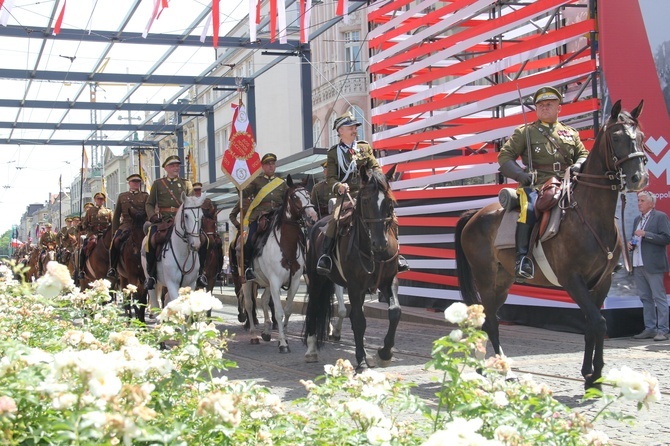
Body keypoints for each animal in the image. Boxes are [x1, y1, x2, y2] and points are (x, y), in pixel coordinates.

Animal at [242, 176, 320, 354]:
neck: (286, 244)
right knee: (249, 304)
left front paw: (282, 338)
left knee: (264, 301)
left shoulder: (295, 280)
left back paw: (265, 332)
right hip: (245, 280)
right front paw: (283, 343)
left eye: (308, 194)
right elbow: (278, 312)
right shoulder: (275, 281)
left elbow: (288, 309)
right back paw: (254, 335)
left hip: (266, 282)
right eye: (295, 196)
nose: (312, 216)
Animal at [306, 166, 404, 368]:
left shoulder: (389, 281)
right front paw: (362, 360)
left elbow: (395, 312)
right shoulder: (354, 286)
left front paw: (384, 353)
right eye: (365, 201)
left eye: (389, 202)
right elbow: (359, 320)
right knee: (313, 305)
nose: (380, 243)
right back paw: (311, 349)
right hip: (316, 279)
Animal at [456, 99, 652, 388]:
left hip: (503, 280)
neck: (590, 215)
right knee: (490, 321)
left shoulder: (601, 282)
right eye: (616, 137)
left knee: (488, 319)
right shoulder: (572, 280)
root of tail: (475, 214)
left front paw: (588, 373)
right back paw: (502, 369)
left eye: (640, 136)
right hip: (486, 278)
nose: (639, 177)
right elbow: (599, 322)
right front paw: (596, 376)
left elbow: (591, 325)